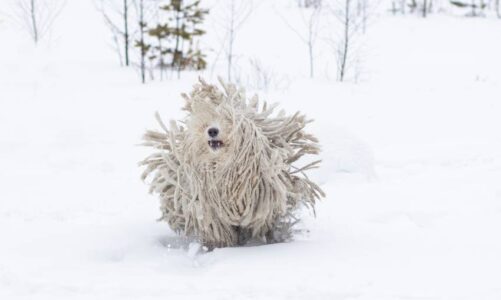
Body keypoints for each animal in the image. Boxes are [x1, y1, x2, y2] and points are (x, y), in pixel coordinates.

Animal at [140, 77, 324, 248]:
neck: (225, 168)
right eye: (206, 123)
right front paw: (222, 246)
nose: (212, 131)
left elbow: (262, 223)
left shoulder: (262, 205)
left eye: (229, 121)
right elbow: (218, 230)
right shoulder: (209, 209)